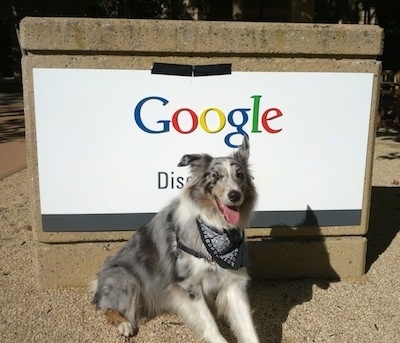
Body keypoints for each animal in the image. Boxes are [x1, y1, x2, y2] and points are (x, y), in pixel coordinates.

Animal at [91, 136, 260, 342]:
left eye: (239, 175)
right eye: (216, 175)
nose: (235, 195)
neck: (217, 229)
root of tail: (99, 280)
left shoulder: (233, 282)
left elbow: (247, 328)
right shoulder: (187, 285)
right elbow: (210, 325)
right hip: (125, 279)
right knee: (108, 307)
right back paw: (124, 324)